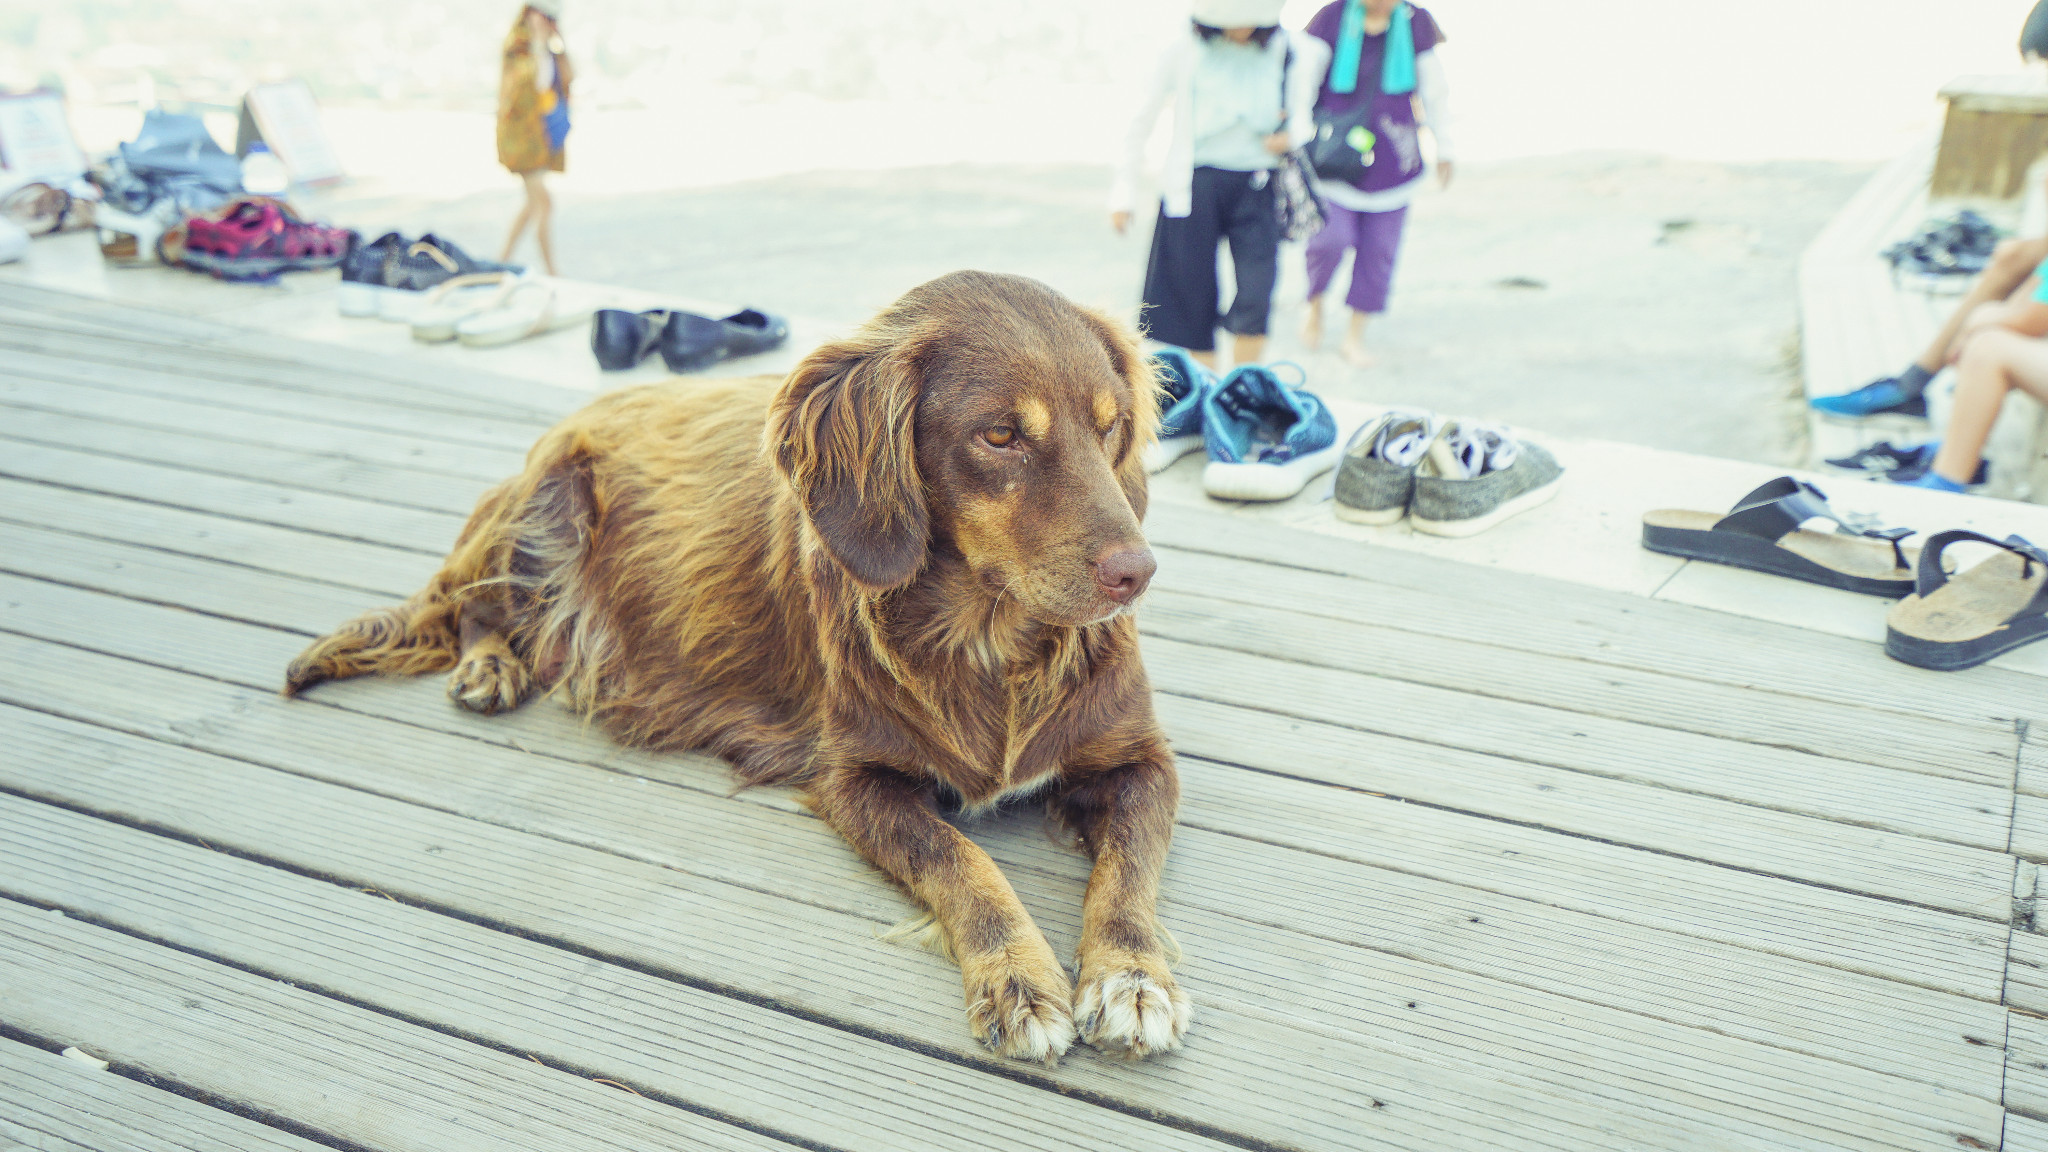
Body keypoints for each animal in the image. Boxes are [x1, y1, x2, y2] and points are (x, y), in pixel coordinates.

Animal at [282, 268, 1196, 1057]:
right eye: (1000, 435)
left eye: (1111, 426)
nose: (1138, 573)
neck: (989, 640)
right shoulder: (854, 778)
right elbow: (962, 861)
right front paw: (1016, 978)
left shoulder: (1142, 761)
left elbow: (1129, 869)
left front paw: (1131, 976)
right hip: (544, 516)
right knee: (477, 605)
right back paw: (488, 668)